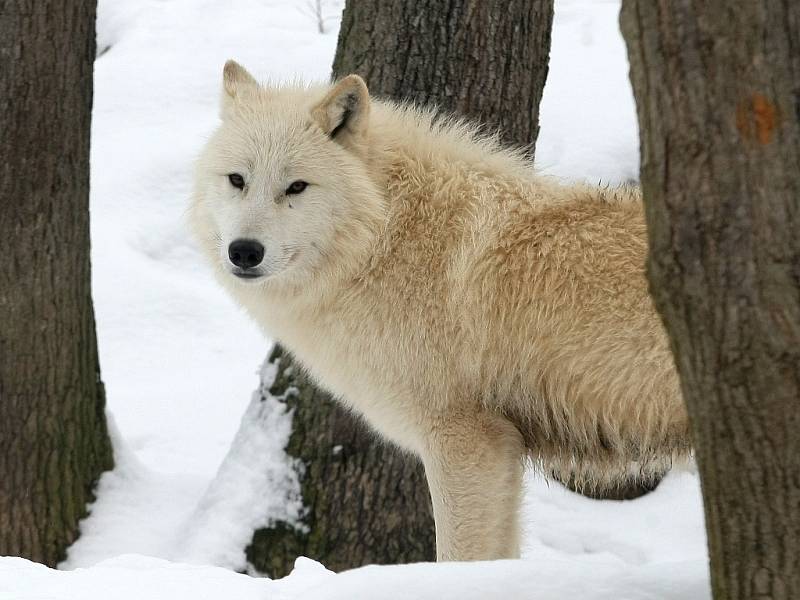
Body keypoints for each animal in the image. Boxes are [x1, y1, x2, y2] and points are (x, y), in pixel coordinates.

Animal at [191, 61, 692, 564]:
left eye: (296, 186)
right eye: (237, 180)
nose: (244, 252)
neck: (387, 240)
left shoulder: (467, 442)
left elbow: (459, 557)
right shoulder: (502, 449)